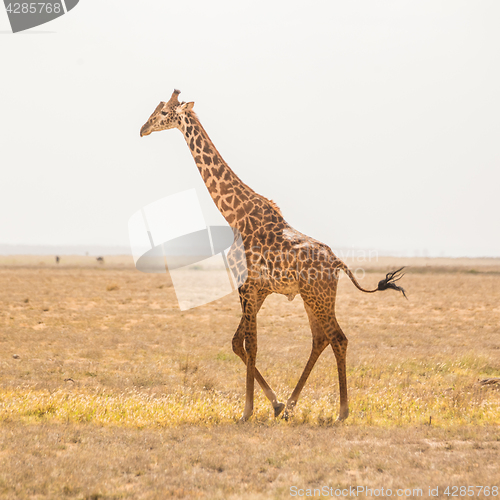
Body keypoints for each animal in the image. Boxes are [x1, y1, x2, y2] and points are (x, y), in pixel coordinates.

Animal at [139, 90, 404, 422]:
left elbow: (251, 344)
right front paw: (274, 404)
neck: (235, 216)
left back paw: (341, 411)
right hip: (310, 297)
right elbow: (238, 343)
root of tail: (338, 263)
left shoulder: (247, 286)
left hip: (319, 296)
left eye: (163, 113)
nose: (143, 129)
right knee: (320, 338)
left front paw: (247, 411)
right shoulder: (259, 289)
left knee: (338, 338)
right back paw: (290, 406)